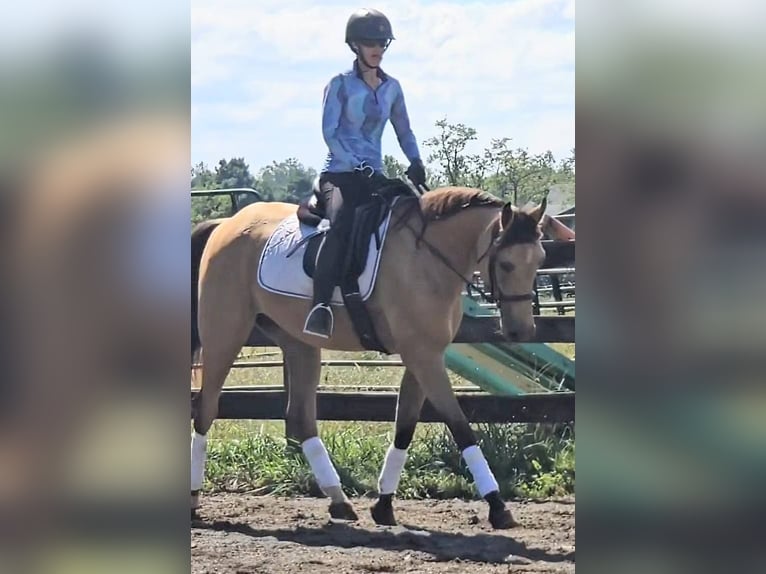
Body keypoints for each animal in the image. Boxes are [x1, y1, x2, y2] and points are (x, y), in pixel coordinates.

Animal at [191, 183, 547, 529]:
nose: (522, 332)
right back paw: (194, 500)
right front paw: (498, 507)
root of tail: (227, 224)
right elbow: (460, 426)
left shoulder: (423, 356)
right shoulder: (424, 357)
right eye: (506, 264)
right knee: (206, 409)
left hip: (298, 343)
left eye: (539, 260)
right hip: (225, 334)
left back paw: (339, 501)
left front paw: (384, 505)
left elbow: (405, 427)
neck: (426, 258)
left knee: (301, 417)